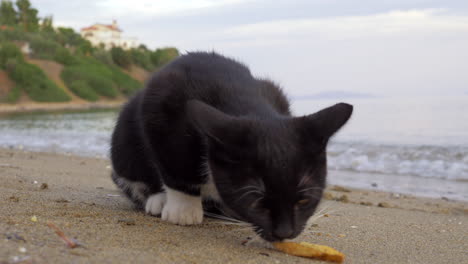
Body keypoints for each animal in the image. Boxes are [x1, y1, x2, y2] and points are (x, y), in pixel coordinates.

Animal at [109, 51, 352, 241]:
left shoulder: (275, 92)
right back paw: (158, 200)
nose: (285, 233)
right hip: (123, 146)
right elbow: (175, 166)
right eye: (256, 201)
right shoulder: (159, 103)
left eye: (304, 199)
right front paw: (183, 209)